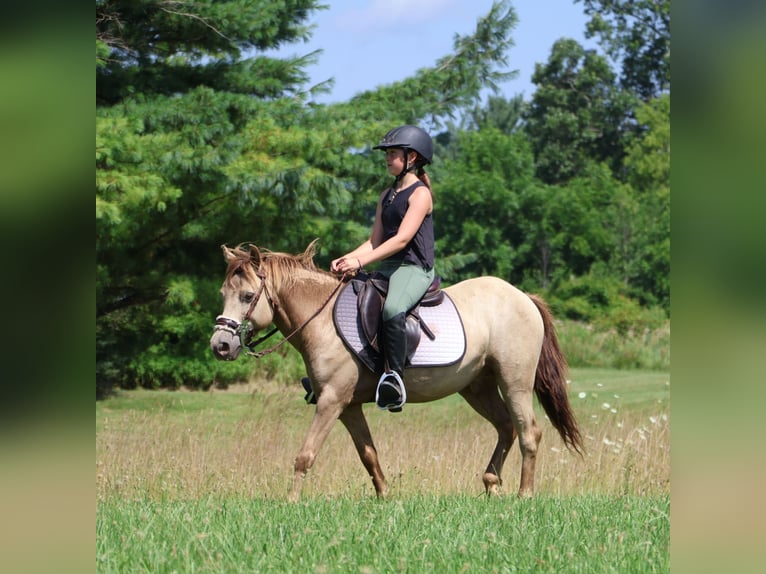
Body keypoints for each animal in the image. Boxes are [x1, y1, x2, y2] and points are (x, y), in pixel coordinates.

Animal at [209, 241, 583, 501]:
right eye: (223, 293)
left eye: (247, 296)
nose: (220, 346)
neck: (322, 319)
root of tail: (524, 297)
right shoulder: (349, 406)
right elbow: (368, 455)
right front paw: (386, 497)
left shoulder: (332, 401)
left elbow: (305, 454)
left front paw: (290, 502)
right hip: (478, 387)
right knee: (506, 427)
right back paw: (491, 484)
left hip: (514, 381)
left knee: (528, 431)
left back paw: (524, 494)